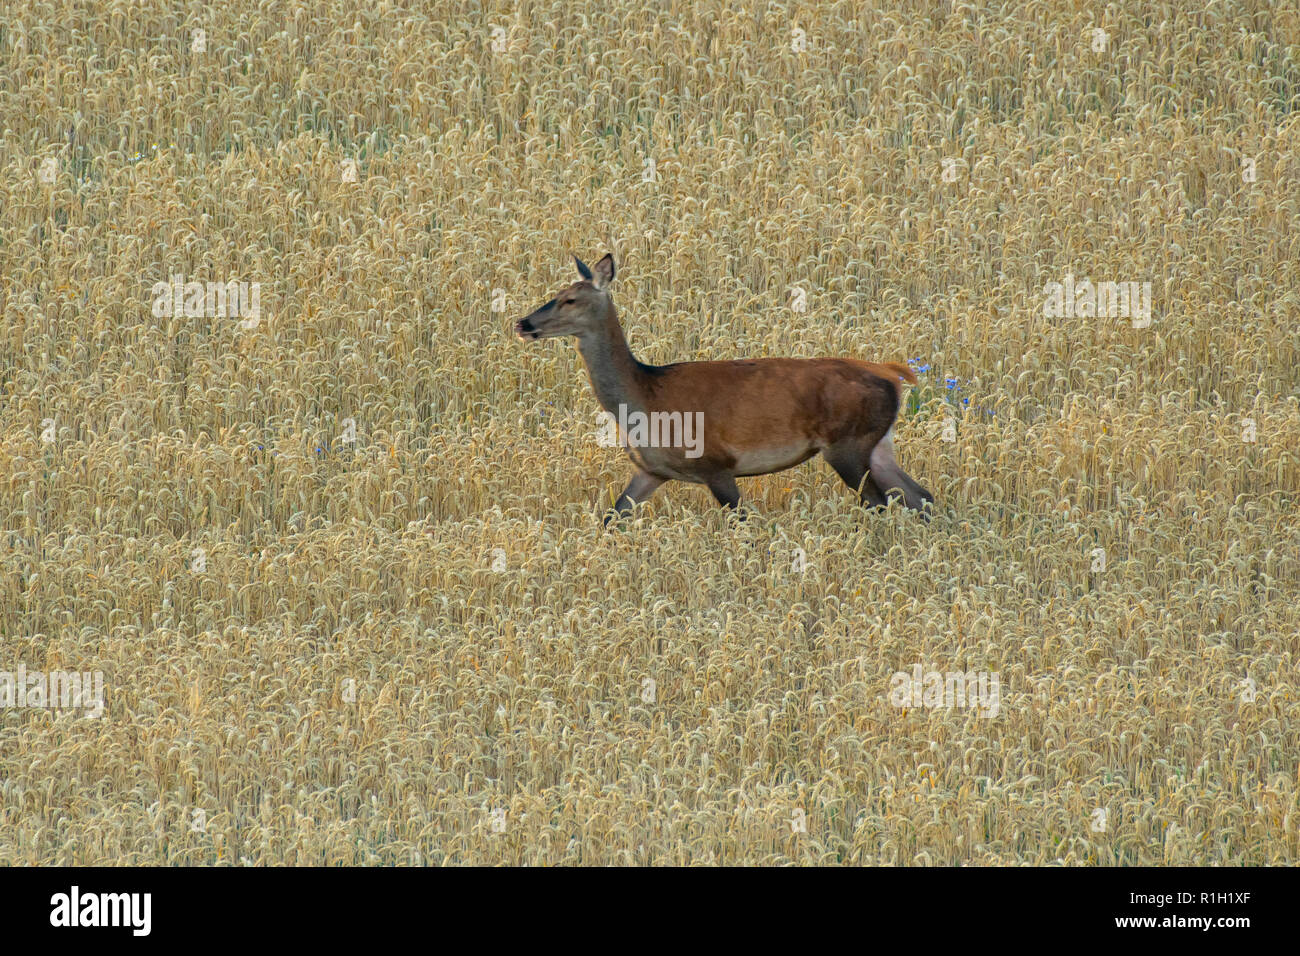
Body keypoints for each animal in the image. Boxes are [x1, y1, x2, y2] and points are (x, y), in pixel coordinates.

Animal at [515, 253, 934, 525]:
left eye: (570, 299)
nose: (523, 323)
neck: (645, 396)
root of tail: (893, 375)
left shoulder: (715, 464)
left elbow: (742, 524)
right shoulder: (652, 470)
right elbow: (611, 517)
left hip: (847, 443)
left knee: (880, 502)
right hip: (877, 444)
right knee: (921, 497)